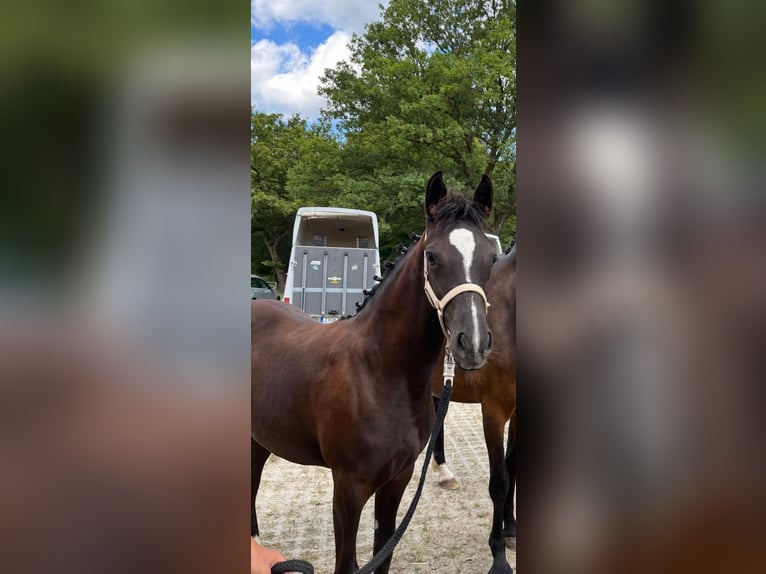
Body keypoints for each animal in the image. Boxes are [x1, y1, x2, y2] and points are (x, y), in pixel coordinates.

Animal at [254, 173, 498, 574]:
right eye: (432, 256)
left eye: (491, 258)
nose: (473, 343)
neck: (378, 374)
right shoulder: (348, 488)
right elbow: (347, 563)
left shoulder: (397, 480)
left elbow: (382, 554)